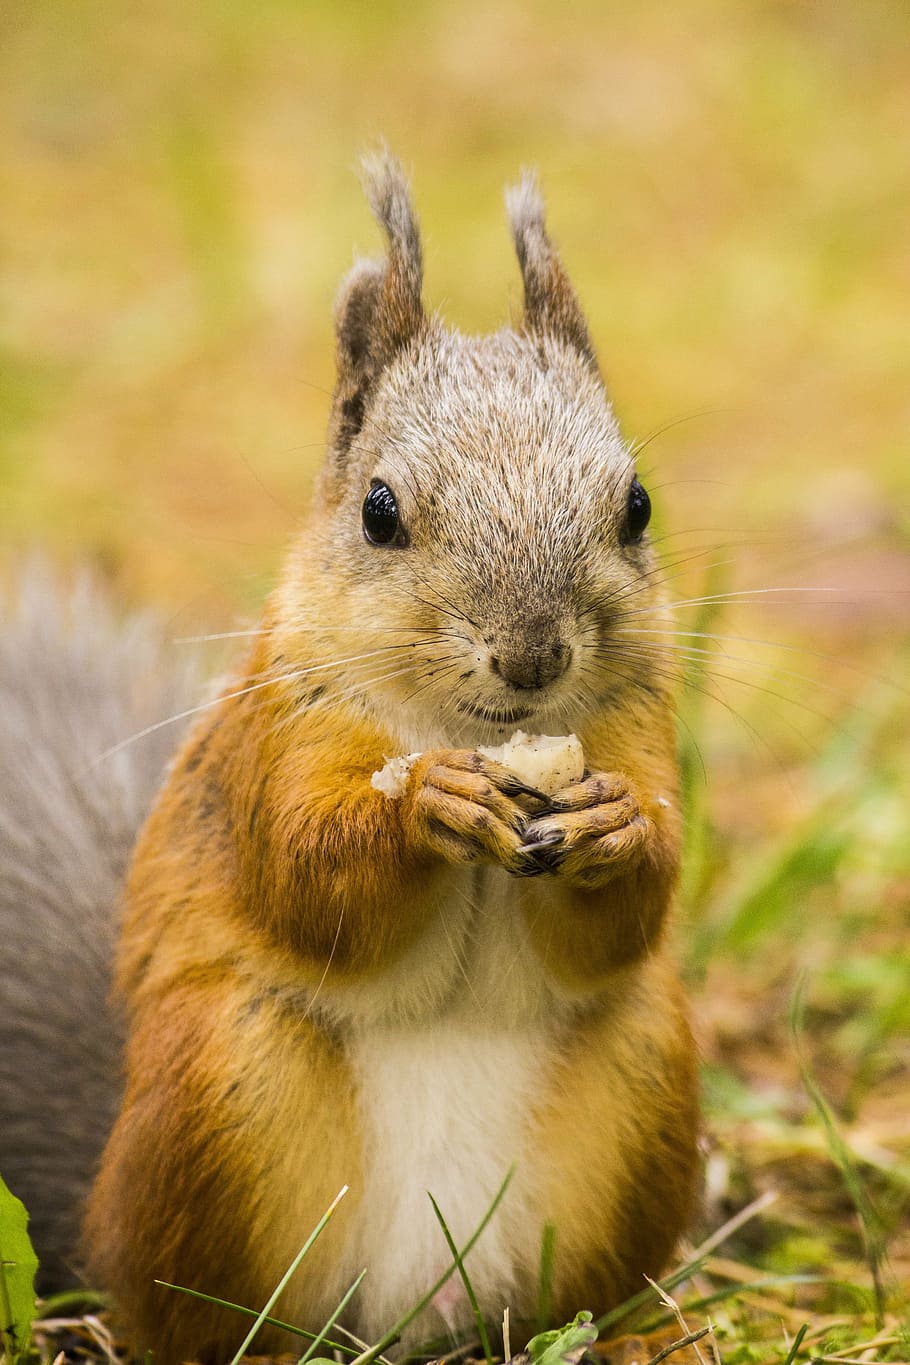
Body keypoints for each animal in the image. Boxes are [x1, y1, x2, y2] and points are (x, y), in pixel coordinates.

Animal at [1, 154, 700, 1363]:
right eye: (379, 512)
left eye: (637, 506)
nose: (533, 655)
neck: (478, 726)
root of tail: (418, 1311)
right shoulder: (277, 739)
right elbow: (305, 878)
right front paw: (424, 802)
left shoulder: (637, 730)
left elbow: (628, 917)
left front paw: (615, 829)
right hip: (223, 1087)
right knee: (198, 1315)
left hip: (644, 1078)